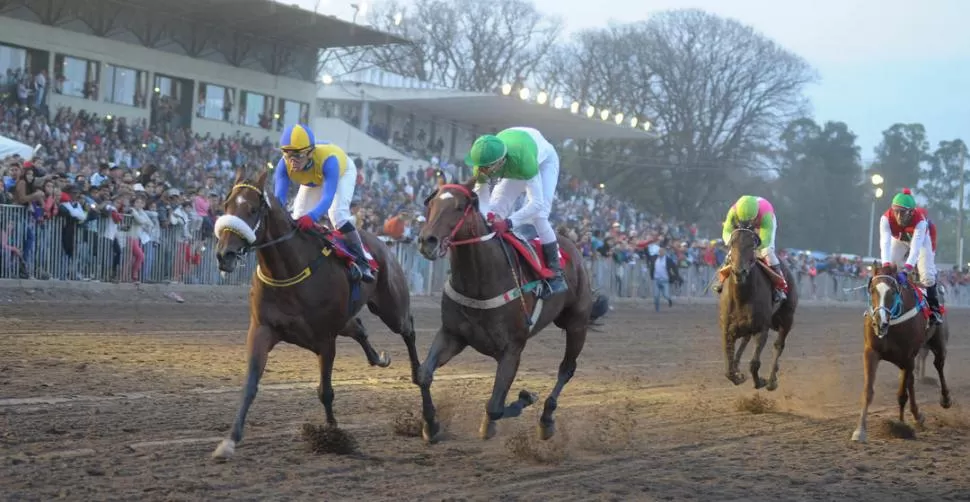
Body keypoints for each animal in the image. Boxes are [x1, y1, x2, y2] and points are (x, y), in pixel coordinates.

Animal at [208, 169, 420, 458]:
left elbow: (326, 391)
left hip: (391, 308)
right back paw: (379, 358)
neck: (287, 271)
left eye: (252, 209)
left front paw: (333, 436)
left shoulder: (325, 339)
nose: (224, 255)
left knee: (408, 328)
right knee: (359, 327)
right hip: (347, 318)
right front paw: (229, 441)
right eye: (226, 205)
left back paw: (420, 376)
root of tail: (382, 242)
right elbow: (250, 385)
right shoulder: (262, 329)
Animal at [414, 177, 604, 444]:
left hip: (576, 323)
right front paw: (431, 424)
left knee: (566, 369)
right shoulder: (452, 334)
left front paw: (524, 398)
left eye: (460, 208)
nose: (427, 241)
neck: (479, 282)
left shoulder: (512, 348)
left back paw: (546, 419)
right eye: (430, 204)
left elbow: (495, 406)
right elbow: (423, 374)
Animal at [852, 262, 948, 444]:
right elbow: (868, 392)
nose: (879, 321)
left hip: (937, 342)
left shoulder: (908, 356)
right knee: (911, 381)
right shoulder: (871, 352)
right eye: (872, 289)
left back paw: (945, 399)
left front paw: (900, 427)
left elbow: (902, 394)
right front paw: (860, 431)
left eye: (893, 291)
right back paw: (917, 416)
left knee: (939, 365)